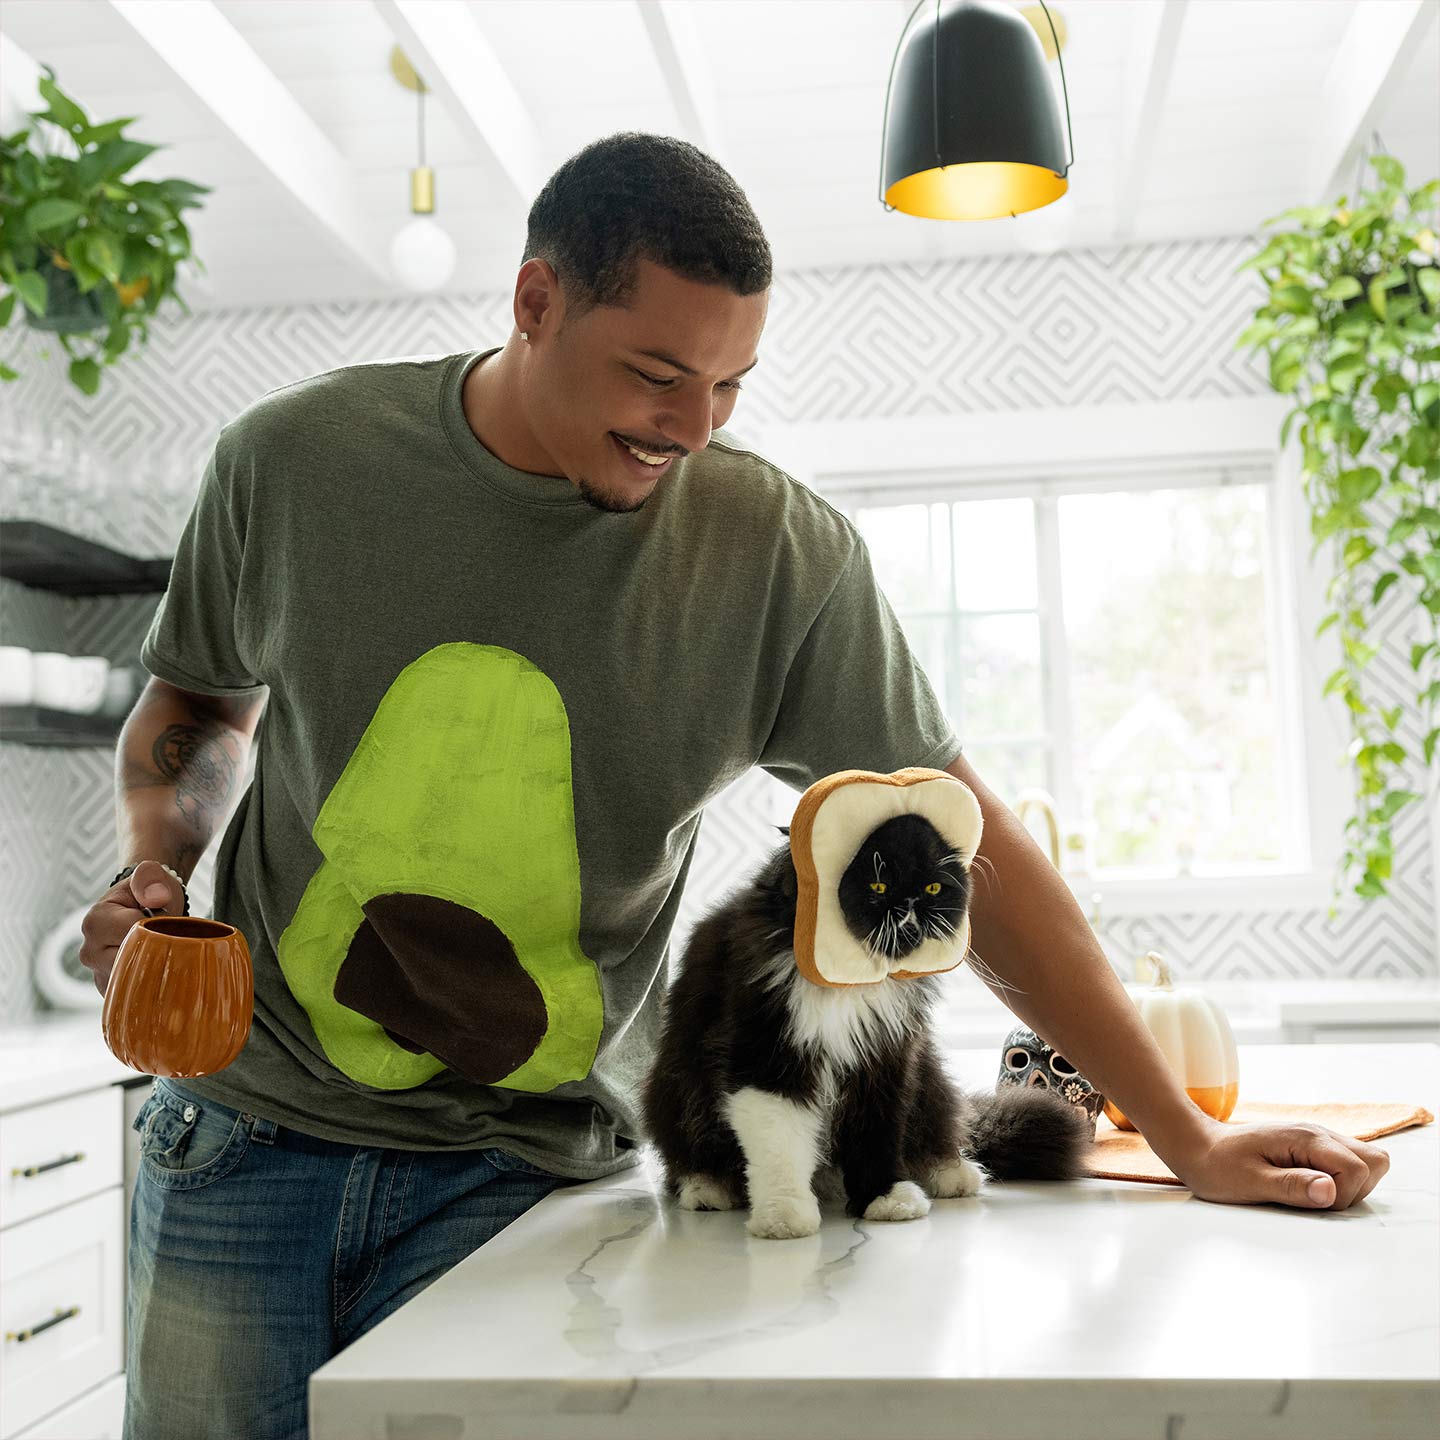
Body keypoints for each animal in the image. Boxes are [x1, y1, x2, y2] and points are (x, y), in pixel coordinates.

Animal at [642, 812, 1088, 1238]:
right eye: (877, 885)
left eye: (932, 889)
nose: (910, 903)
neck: (853, 978)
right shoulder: (767, 1054)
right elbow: (779, 1143)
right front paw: (784, 1218)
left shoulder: (885, 1057)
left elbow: (877, 1133)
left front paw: (884, 1197)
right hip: (676, 1088)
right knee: (688, 1159)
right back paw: (708, 1189)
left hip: (929, 1075)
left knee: (942, 1127)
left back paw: (952, 1174)